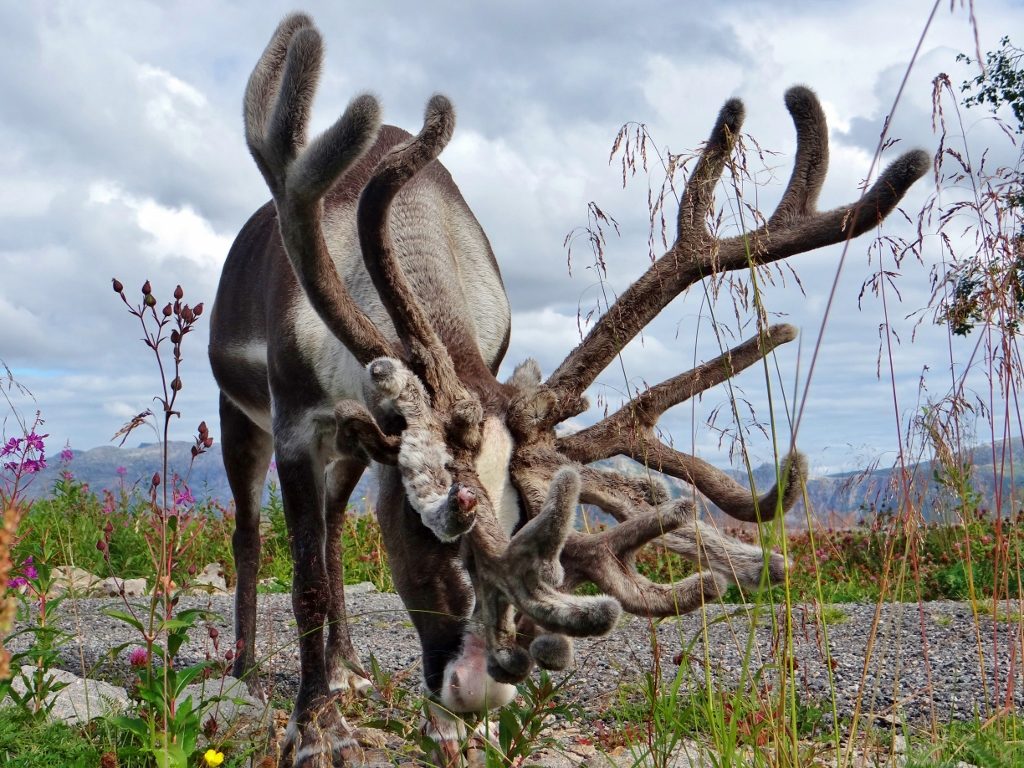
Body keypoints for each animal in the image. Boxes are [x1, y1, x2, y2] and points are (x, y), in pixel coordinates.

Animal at [208, 12, 929, 766]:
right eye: (432, 525)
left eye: (538, 534)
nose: (476, 691)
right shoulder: (298, 422)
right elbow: (307, 584)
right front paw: (317, 730)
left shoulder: (374, 437)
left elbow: (334, 551)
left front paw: (448, 730)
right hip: (240, 419)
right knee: (252, 533)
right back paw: (245, 664)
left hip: (350, 455)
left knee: (333, 528)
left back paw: (348, 666)